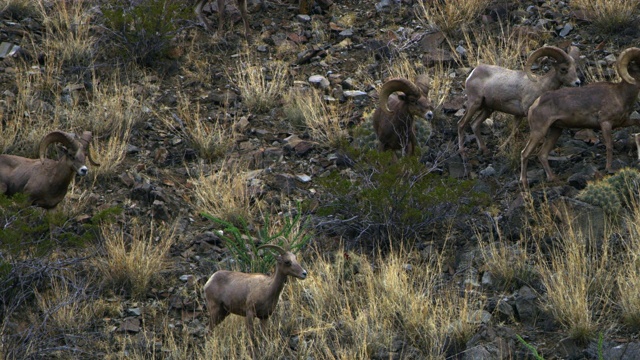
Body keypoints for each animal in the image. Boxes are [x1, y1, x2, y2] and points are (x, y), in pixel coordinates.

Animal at [520, 47, 640, 188]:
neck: (620, 94)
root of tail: (533, 106)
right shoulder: (605, 123)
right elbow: (610, 145)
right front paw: (609, 169)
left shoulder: (624, 122)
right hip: (539, 132)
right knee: (525, 153)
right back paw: (524, 183)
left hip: (555, 131)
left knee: (542, 154)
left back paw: (553, 178)